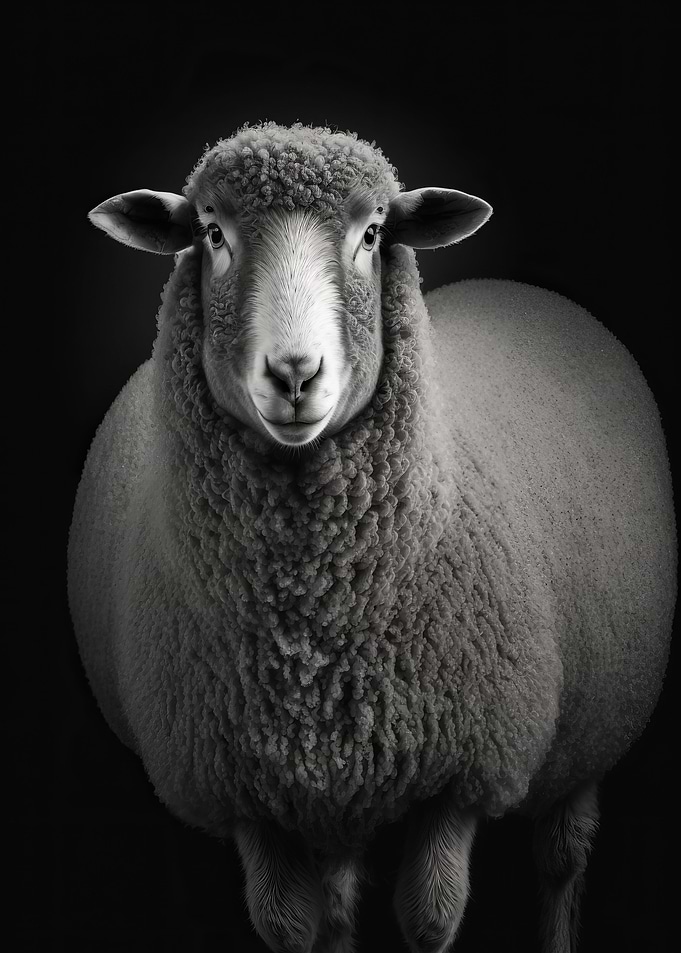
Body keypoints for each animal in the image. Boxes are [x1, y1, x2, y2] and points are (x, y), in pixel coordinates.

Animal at [68, 120, 676, 953]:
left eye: (372, 233)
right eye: (212, 233)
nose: (295, 374)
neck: (311, 637)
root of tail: (520, 289)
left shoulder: (459, 777)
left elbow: (428, 921)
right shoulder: (247, 794)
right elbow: (295, 928)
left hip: (591, 730)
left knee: (561, 860)